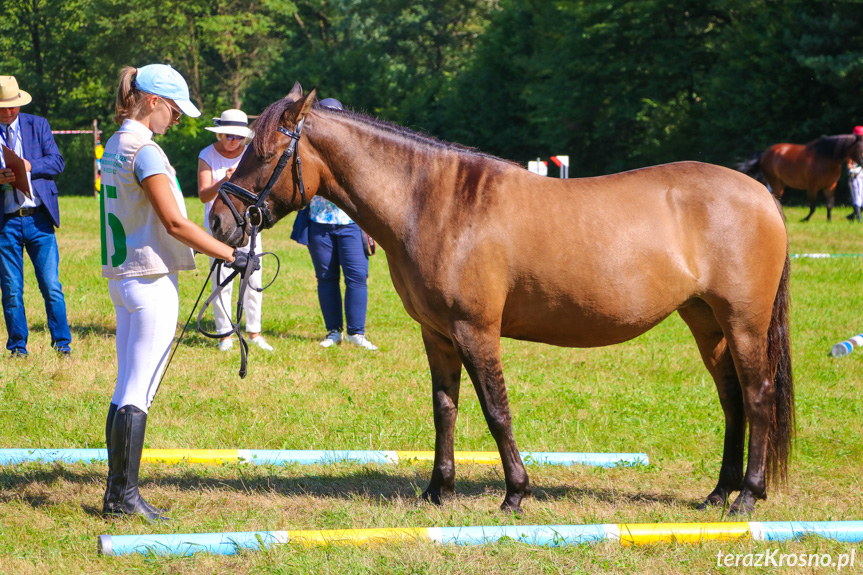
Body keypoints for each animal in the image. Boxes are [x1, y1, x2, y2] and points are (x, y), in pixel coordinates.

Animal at [211, 83, 796, 516]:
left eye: (265, 152)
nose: (219, 220)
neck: (435, 203)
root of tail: (762, 195)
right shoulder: (437, 334)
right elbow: (444, 409)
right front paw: (437, 492)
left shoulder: (475, 330)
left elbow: (496, 409)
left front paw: (515, 493)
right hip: (705, 321)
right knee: (732, 398)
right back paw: (719, 492)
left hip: (743, 323)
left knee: (758, 396)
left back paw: (746, 497)